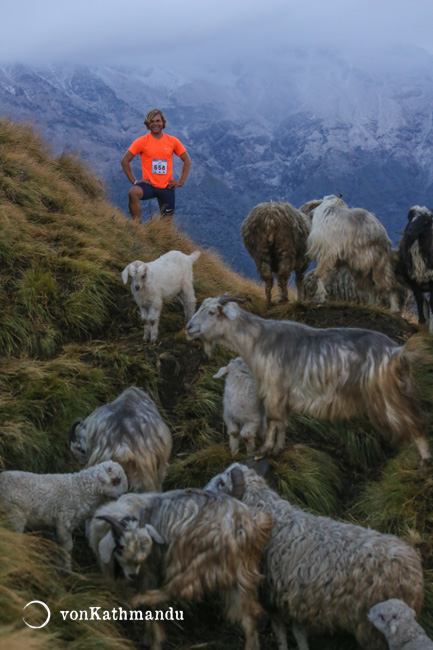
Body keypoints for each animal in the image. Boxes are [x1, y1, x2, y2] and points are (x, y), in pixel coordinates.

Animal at [0, 458, 128, 568]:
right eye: (116, 480)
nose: (123, 494)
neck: (81, 489)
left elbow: (59, 545)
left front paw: (59, 565)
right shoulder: (64, 520)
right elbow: (67, 546)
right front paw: (67, 569)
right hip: (14, 515)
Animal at [89, 488, 272, 644]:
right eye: (120, 547)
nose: (131, 575)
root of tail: (240, 525)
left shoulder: (149, 570)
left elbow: (152, 605)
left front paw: (153, 638)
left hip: (192, 559)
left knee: (175, 589)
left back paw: (134, 602)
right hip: (241, 571)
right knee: (250, 615)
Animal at [184, 294, 430, 466]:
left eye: (212, 312)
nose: (188, 328)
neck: (258, 340)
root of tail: (398, 352)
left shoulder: (274, 389)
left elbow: (273, 420)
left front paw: (264, 450)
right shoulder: (284, 395)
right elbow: (283, 423)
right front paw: (278, 449)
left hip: (388, 396)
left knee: (415, 422)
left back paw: (425, 461)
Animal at [204, 460, 424, 648]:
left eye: (221, 482)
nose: (202, 494)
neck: (270, 522)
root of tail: (412, 570)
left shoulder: (278, 597)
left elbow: (284, 632)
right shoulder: (295, 599)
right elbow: (296, 632)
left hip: (373, 627)